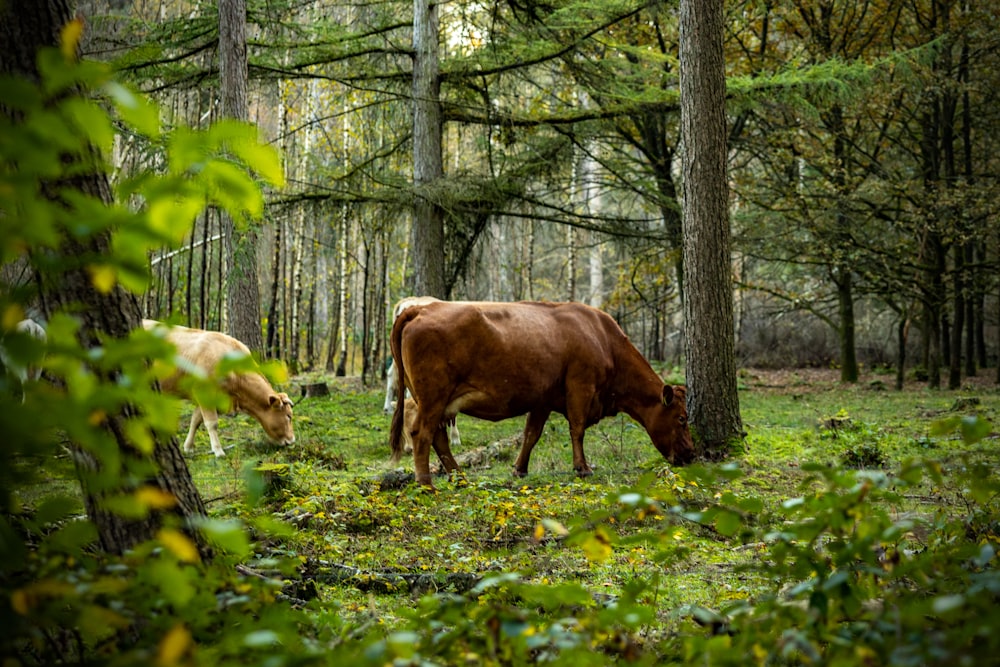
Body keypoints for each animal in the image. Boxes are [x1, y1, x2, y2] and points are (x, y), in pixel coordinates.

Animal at [143, 320, 294, 456]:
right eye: (288, 416)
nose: (292, 440)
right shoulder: (204, 391)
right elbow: (211, 423)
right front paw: (218, 451)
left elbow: (196, 420)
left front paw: (188, 447)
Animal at [390, 302, 696, 486]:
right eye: (682, 418)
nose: (691, 454)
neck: (603, 339)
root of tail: (420, 308)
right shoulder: (580, 387)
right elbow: (577, 429)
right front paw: (583, 467)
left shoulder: (543, 400)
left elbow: (531, 434)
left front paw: (519, 469)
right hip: (433, 397)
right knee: (422, 434)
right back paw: (426, 482)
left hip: (438, 402)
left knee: (439, 438)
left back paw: (458, 476)